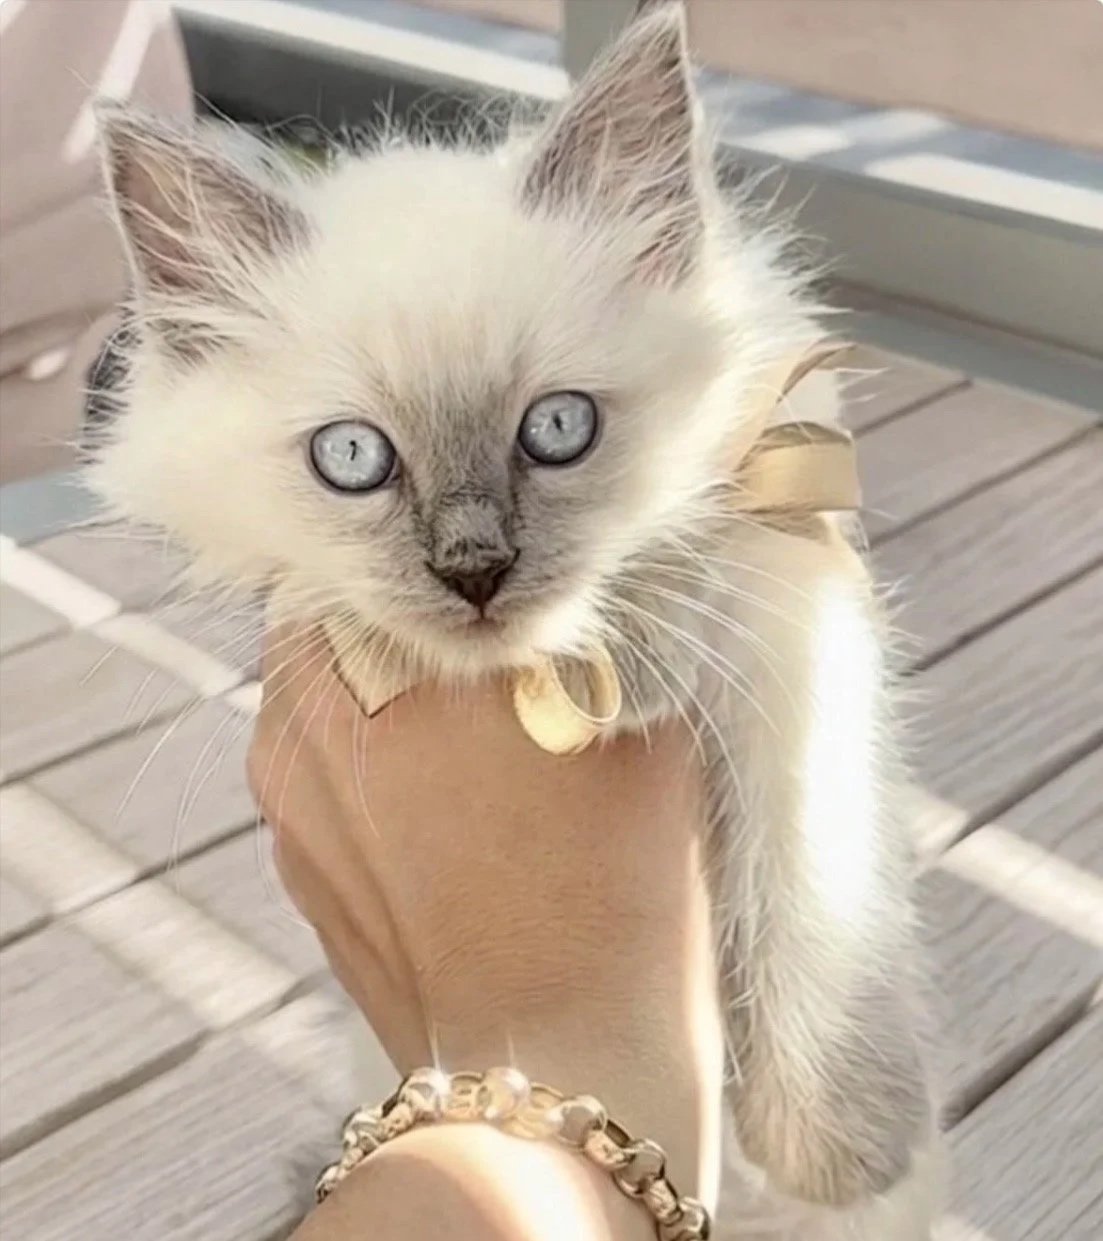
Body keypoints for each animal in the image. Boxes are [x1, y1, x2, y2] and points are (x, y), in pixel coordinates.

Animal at [89, 6, 937, 1238]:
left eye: (557, 429)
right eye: (353, 458)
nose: (474, 571)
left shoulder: (794, 610)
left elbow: (809, 893)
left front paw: (837, 1149)